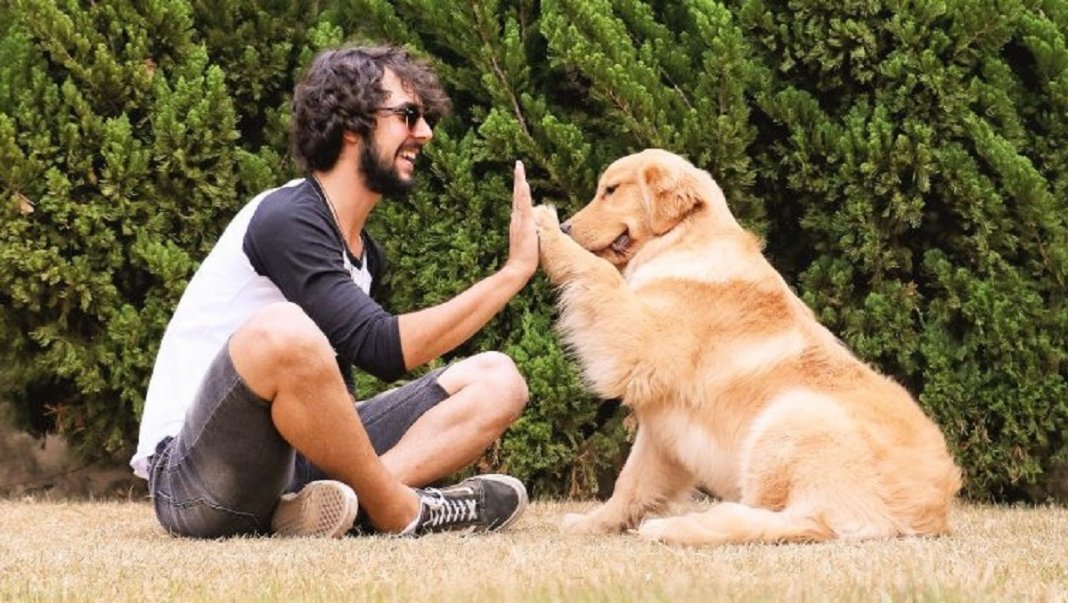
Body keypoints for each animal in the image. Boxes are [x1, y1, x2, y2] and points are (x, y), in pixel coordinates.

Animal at [529, 148, 965, 542]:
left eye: (611, 190)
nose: (566, 226)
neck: (683, 240)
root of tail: (930, 514)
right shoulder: (663, 430)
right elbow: (629, 484)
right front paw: (593, 523)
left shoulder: (639, 339)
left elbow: (597, 273)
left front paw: (543, 225)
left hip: (790, 417)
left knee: (800, 522)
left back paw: (675, 527)